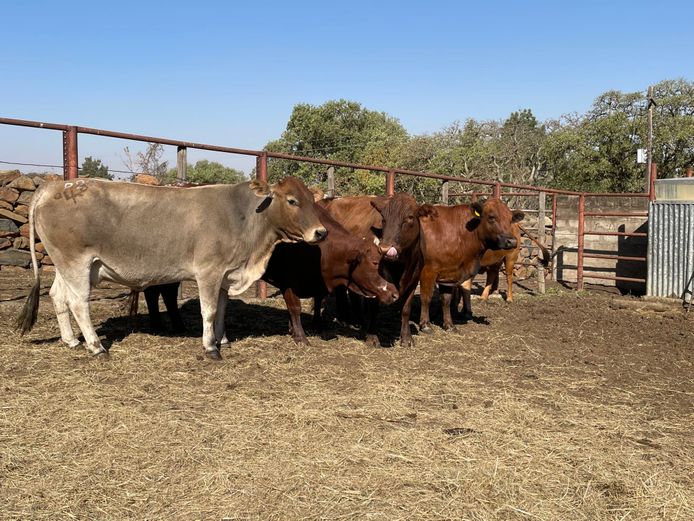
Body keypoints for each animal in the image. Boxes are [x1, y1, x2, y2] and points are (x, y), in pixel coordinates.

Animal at [16, 177, 327, 360]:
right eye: (292, 200)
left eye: (312, 200)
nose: (321, 232)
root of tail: (56, 185)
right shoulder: (208, 272)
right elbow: (208, 310)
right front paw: (210, 347)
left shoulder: (226, 275)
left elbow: (222, 309)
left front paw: (223, 339)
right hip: (77, 263)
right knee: (79, 303)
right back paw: (96, 347)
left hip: (63, 265)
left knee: (57, 296)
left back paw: (71, 341)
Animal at [262, 203, 399, 344]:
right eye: (375, 263)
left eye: (386, 264)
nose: (395, 294)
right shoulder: (288, 283)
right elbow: (295, 308)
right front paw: (300, 336)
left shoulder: (319, 282)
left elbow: (317, 301)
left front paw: (315, 325)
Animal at [417, 198, 524, 332]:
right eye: (491, 217)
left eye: (510, 219)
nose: (511, 241)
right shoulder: (429, 271)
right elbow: (427, 297)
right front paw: (426, 324)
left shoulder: (450, 273)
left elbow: (447, 298)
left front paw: (450, 323)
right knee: (499, 275)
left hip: (509, 257)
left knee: (504, 275)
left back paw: (503, 298)